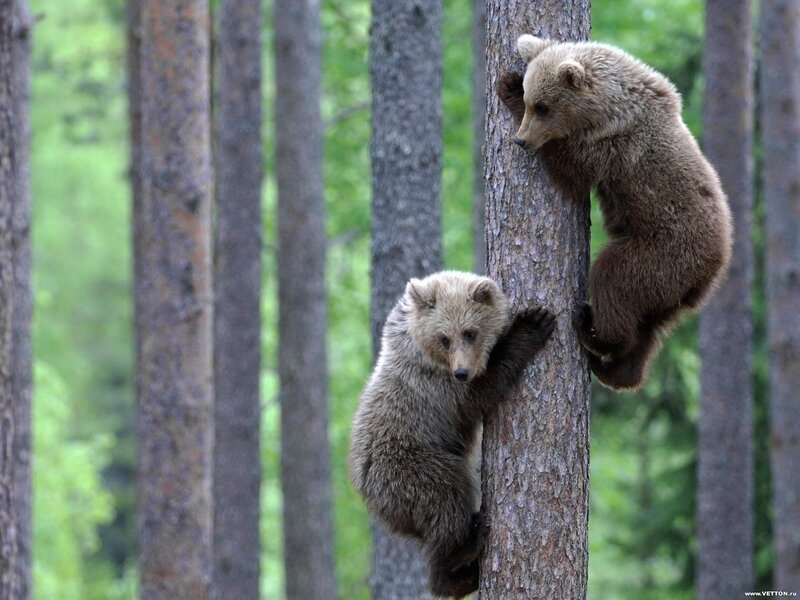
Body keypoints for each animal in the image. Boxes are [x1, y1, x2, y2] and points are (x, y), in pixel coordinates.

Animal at [348, 271, 555, 598]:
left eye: (470, 332)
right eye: (444, 338)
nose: (461, 371)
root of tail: (364, 488)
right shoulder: (438, 388)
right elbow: (481, 392)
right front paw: (532, 323)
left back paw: (464, 575)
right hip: (409, 466)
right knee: (447, 496)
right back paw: (465, 547)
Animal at [497, 35, 732, 391]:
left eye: (542, 107)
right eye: (532, 100)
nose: (521, 140)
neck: (609, 108)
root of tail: (713, 268)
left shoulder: (612, 149)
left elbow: (572, 173)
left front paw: (507, 88)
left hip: (661, 253)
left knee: (613, 280)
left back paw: (591, 329)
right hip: (669, 291)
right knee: (648, 328)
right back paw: (615, 370)